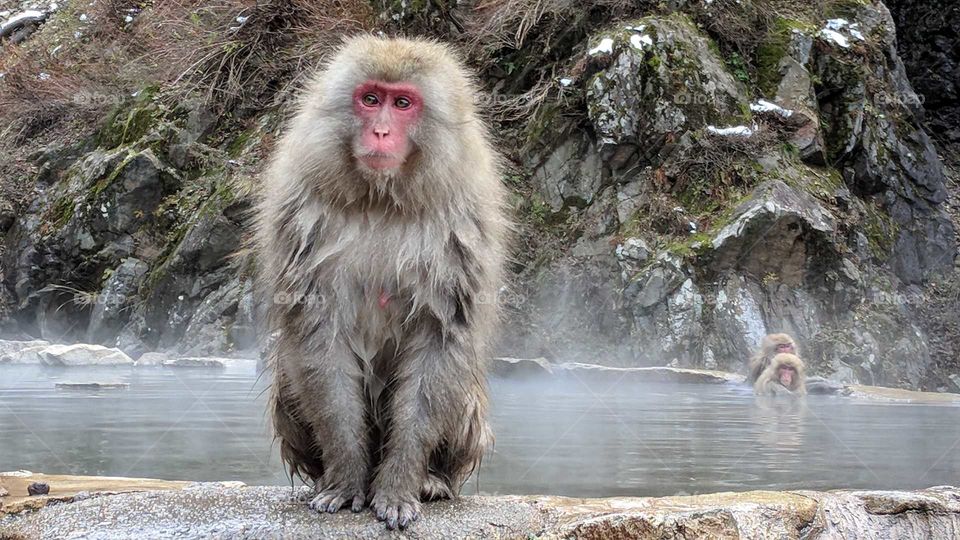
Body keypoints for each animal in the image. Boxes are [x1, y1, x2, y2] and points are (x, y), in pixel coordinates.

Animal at [255, 35, 510, 528]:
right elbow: (320, 339)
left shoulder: (460, 226)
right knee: (290, 374)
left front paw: (398, 486)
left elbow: (439, 340)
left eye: (403, 103)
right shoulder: (303, 214)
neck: (382, 199)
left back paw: (433, 479)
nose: (380, 132)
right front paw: (345, 481)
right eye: (371, 100)